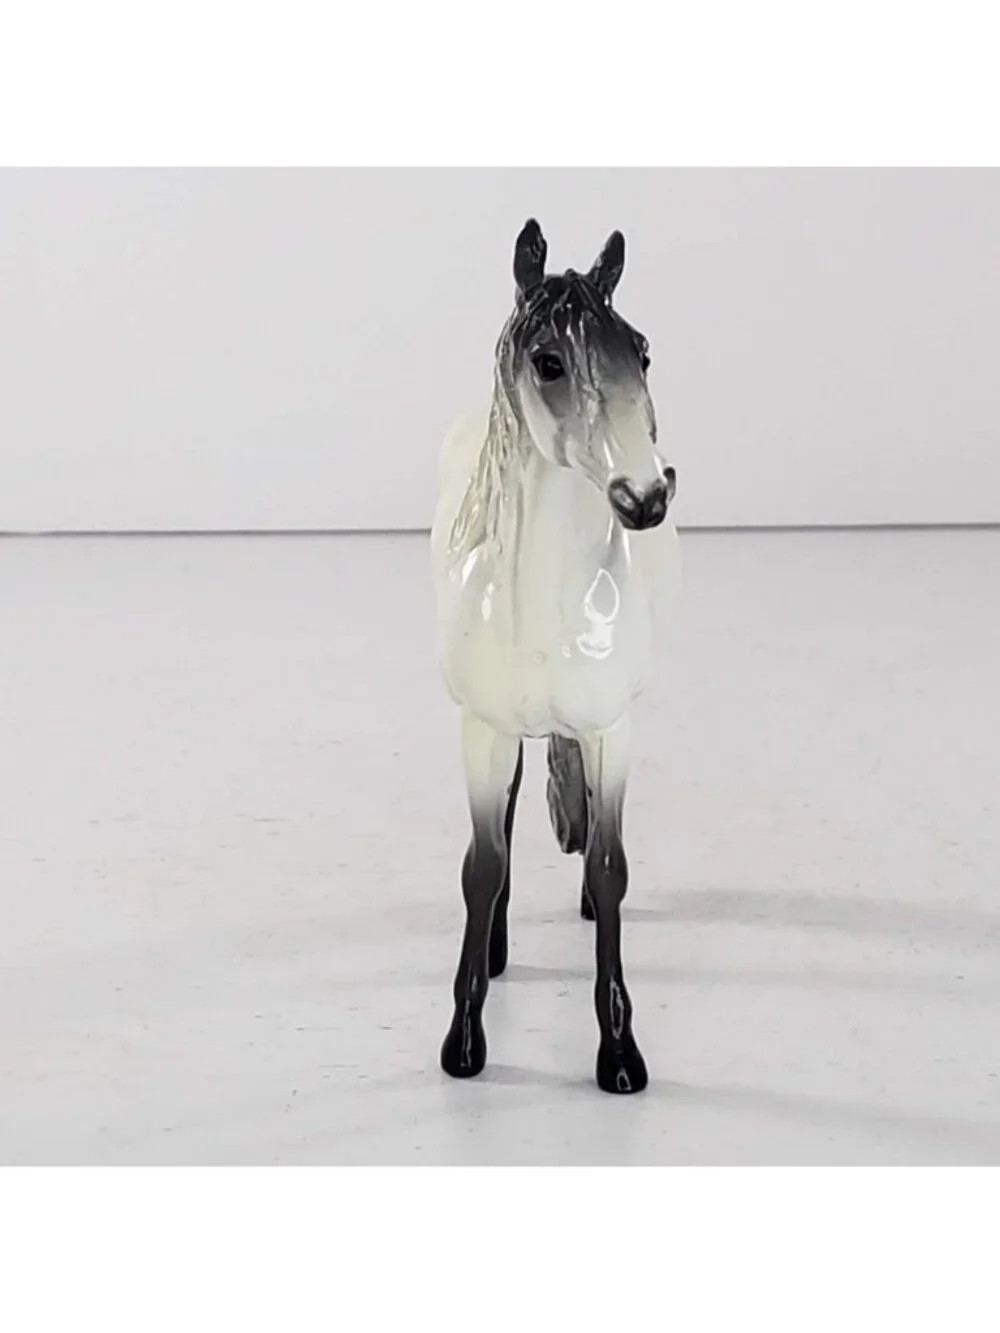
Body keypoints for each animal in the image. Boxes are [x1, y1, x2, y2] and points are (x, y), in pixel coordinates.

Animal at [430, 219, 680, 1094]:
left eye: (641, 352)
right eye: (549, 362)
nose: (647, 497)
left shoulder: (612, 731)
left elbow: (609, 865)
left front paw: (620, 1048)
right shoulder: (481, 728)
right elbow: (482, 865)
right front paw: (465, 1037)